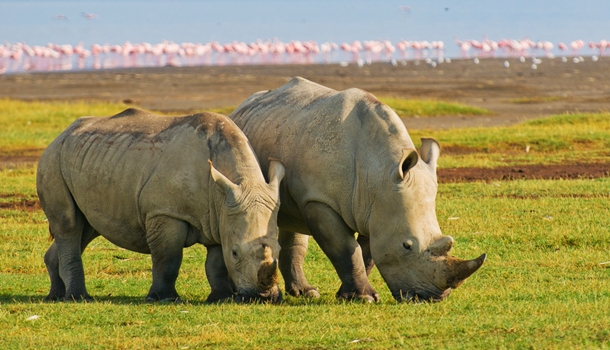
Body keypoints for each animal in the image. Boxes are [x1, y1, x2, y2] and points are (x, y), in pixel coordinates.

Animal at [36, 108, 284, 304]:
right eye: (235, 253)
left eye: (279, 250)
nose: (264, 298)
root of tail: (61, 134)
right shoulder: (165, 213)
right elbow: (168, 258)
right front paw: (163, 298)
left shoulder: (220, 215)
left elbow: (216, 263)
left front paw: (220, 298)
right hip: (53, 159)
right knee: (69, 225)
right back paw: (78, 298)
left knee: (86, 228)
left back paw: (55, 296)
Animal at [228, 78, 484, 302]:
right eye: (406, 246)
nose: (432, 297)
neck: (380, 170)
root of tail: (242, 106)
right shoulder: (320, 200)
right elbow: (346, 249)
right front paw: (364, 298)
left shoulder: (376, 206)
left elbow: (367, 252)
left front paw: (349, 295)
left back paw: (307, 293)